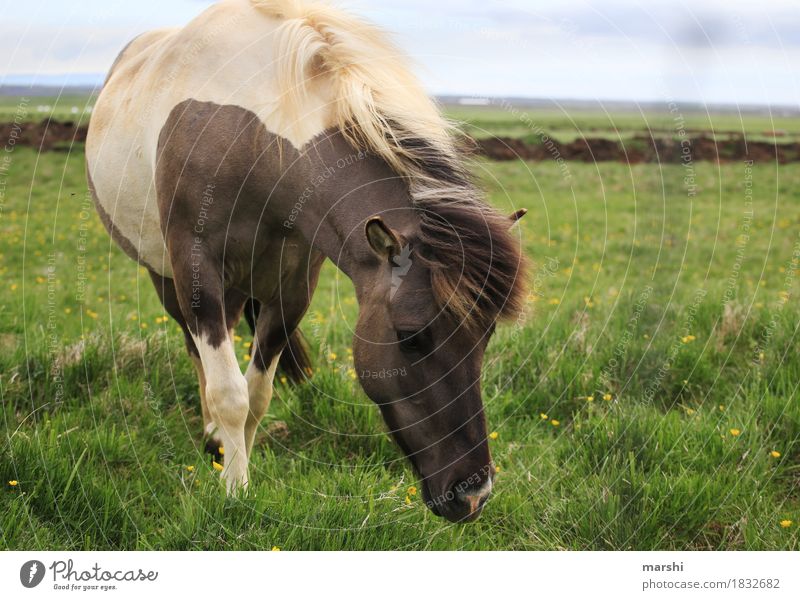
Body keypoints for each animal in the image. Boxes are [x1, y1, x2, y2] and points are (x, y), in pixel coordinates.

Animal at [86, 0, 524, 524]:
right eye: (410, 337)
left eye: (487, 336)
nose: (473, 495)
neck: (258, 139)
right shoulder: (197, 273)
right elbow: (230, 394)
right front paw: (235, 490)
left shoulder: (291, 288)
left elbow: (257, 395)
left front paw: (237, 466)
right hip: (166, 276)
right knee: (195, 349)